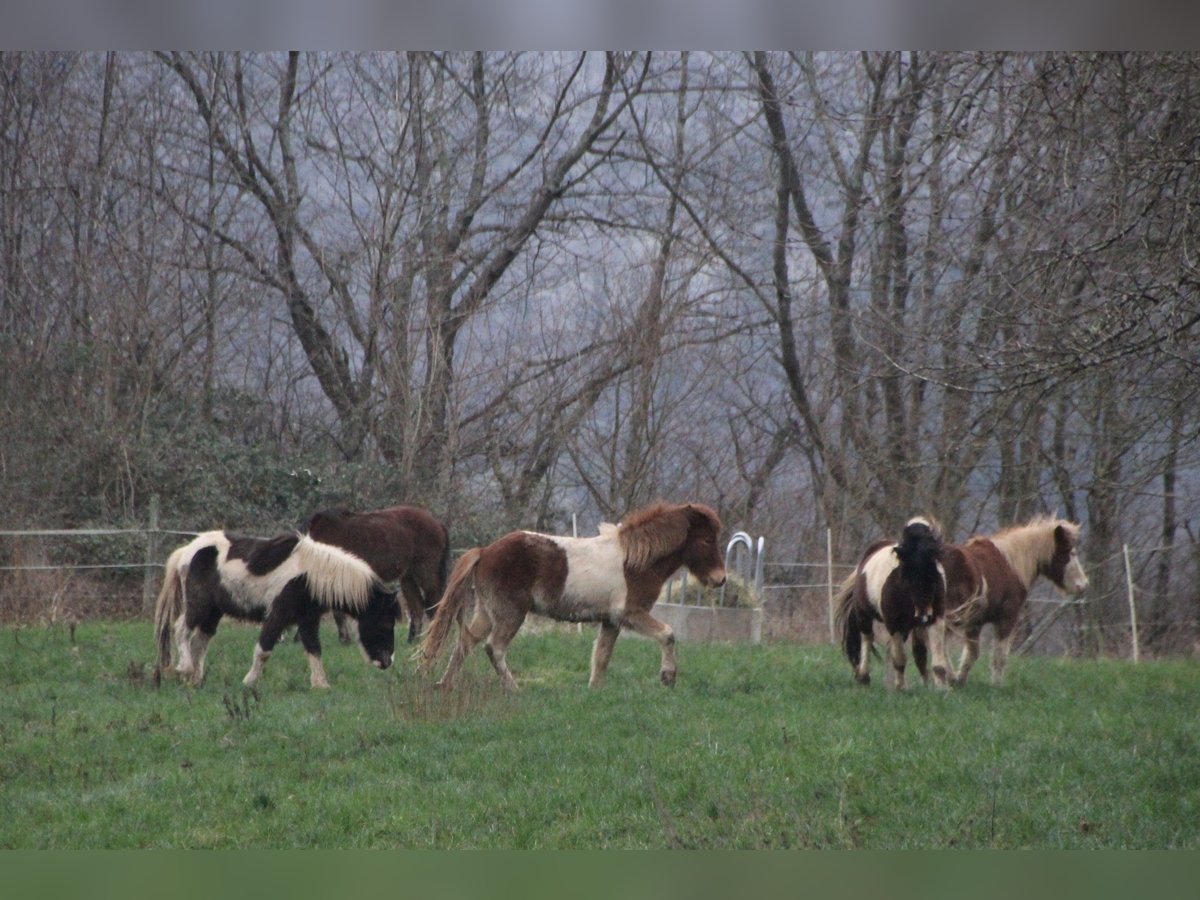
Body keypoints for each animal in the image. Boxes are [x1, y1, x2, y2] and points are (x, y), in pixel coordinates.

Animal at [151, 528, 398, 691]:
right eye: (386, 621)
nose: (388, 661)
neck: (309, 575)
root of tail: (186, 551)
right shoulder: (278, 614)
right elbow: (264, 649)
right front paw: (249, 682)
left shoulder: (308, 619)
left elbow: (314, 649)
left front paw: (321, 685)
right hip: (199, 605)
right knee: (181, 629)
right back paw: (184, 668)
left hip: (214, 612)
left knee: (200, 642)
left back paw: (195, 681)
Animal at [304, 504, 451, 643]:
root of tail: (437, 523)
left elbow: (338, 613)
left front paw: (345, 639)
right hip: (407, 577)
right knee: (417, 607)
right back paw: (412, 640)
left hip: (425, 573)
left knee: (435, 603)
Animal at [417, 504, 724, 696]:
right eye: (707, 540)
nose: (720, 579)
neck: (634, 562)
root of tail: (485, 551)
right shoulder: (630, 614)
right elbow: (668, 634)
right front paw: (668, 677)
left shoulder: (610, 621)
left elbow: (601, 658)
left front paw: (594, 692)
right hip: (510, 614)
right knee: (495, 648)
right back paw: (514, 689)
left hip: (486, 613)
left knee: (466, 642)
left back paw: (444, 685)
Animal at [830, 513, 950, 691]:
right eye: (906, 568)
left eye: (933, 563)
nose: (923, 612)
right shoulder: (893, 624)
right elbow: (899, 659)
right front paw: (901, 687)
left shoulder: (936, 619)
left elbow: (938, 663)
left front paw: (942, 689)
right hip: (864, 616)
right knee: (867, 639)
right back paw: (864, 676)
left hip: (906, 627)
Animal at [940, 518, 1094, 686]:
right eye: (1069, 552)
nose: (1083, 585)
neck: (1011, 565)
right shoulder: (1007, 618)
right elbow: (999, 656)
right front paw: (996, 685)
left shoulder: (975, 623)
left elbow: (972, 654)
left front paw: (959, 681)